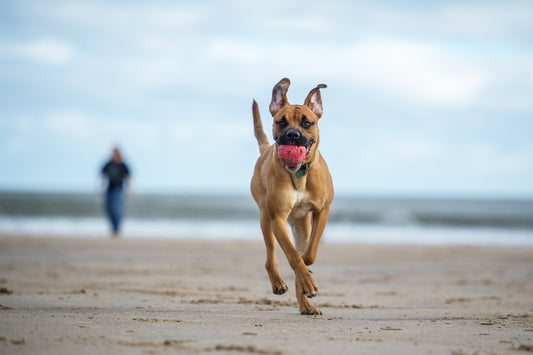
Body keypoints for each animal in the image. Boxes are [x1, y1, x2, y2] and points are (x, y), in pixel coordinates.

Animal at [249, 78, 332, 318]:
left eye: (307, 123)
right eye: (281, 122)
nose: (292, 135)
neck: (299, 174)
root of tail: (265, 150)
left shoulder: (322, 211)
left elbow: (309, 252)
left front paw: (306, 270)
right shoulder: (277, 218)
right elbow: (292, 254)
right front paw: (304, 274)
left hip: (300, 223)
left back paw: (306, 303)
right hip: (265, 219)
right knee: (271, 258)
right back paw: (280, 283)